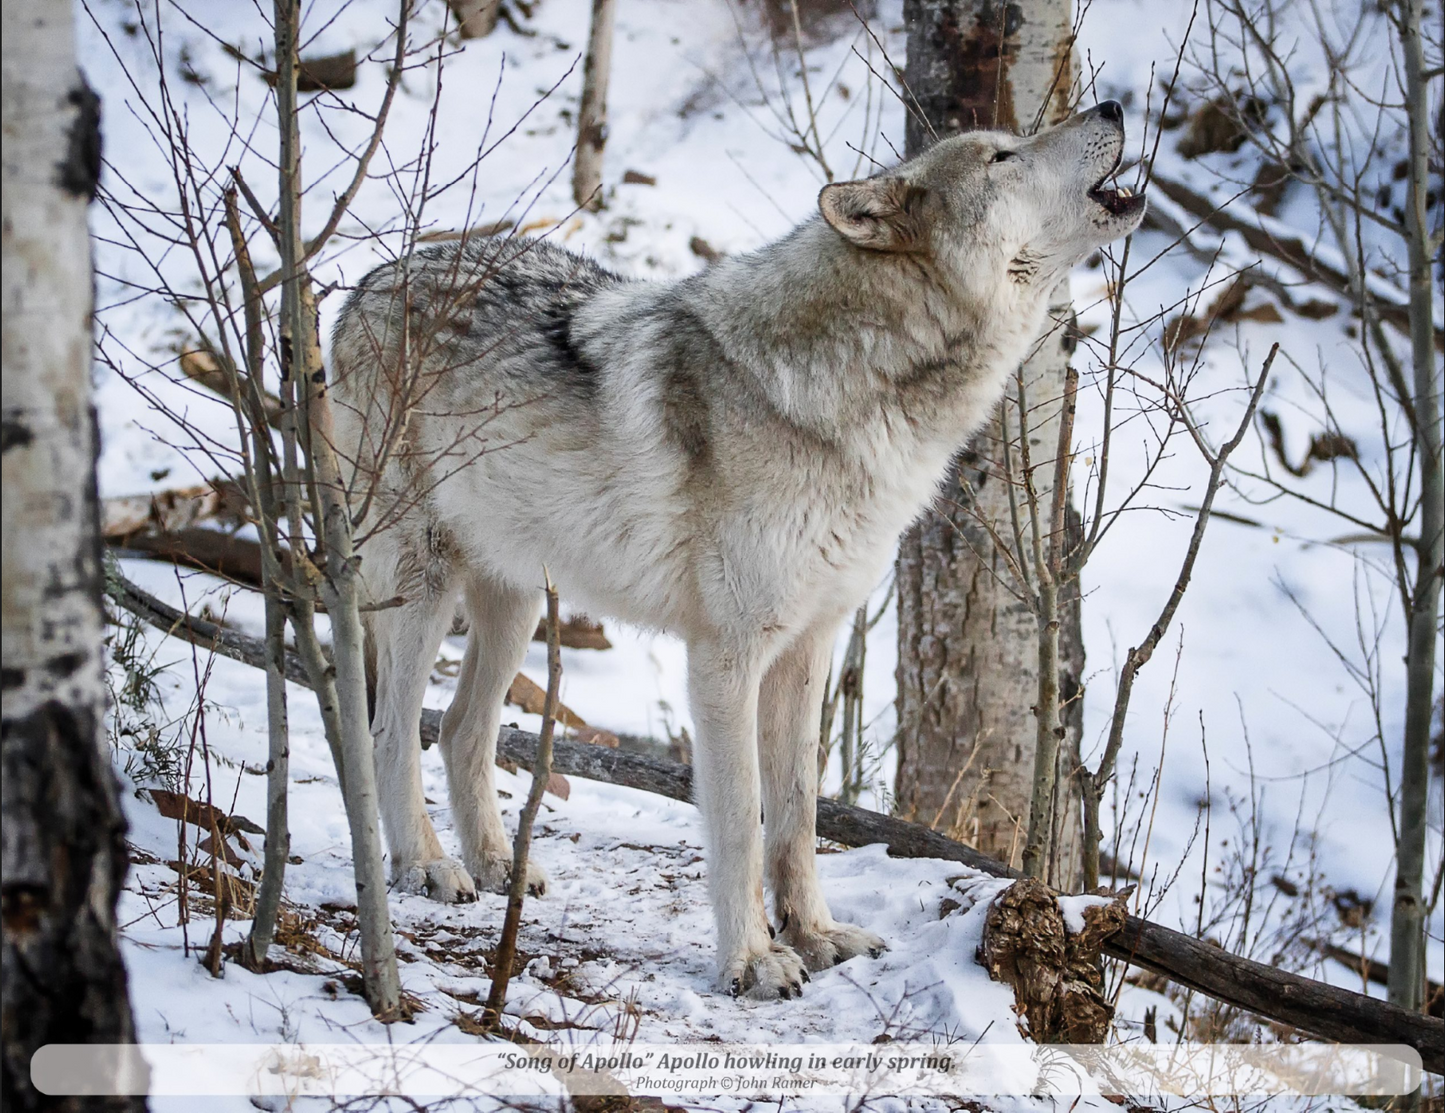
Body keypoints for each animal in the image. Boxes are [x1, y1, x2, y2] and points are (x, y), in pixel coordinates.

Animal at [330, 100, 1146, 999]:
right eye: (1001, 156)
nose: (1111, 105)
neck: (863, 395)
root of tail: (365, 282)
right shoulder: (725, 656)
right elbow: (741, 823)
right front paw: (751, 959)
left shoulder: (808, 646)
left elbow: (796, 815)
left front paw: (815, 935)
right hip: (422, 585)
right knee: (387, 729)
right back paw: (425, 865)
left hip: (514, 603)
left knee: (459, 730)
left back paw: (501, 866)